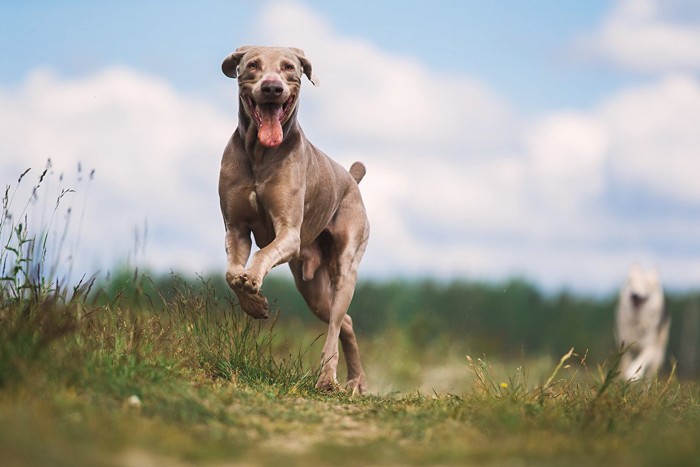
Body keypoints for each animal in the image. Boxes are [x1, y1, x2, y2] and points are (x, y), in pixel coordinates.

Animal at [219, 45, 372, 394]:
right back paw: (355, 380)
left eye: (289, 67)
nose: (272, 88)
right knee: (345, 321)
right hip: (310, 289)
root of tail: (352, 179)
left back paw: (329, 379)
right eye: (252, 65)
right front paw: (254, 303)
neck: (259, 154)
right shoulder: (235, 229)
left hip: (345, 266)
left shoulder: (289, 233)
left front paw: (253, 281)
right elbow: (231, 273)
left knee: (335, 324)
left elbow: (262, 252)